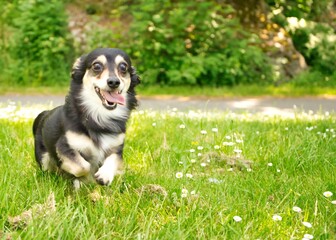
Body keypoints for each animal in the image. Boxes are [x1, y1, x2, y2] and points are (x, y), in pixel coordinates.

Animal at [32, 47, 140, 187]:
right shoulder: (64, 146)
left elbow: (113, 160)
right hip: (43, 158)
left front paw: (104, 175)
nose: (114, 82)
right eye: (97, 66)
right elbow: (84, 167)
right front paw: (85, 178)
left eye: (123, 67)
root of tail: (44, 113)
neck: (100, 115)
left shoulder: (116, 149)